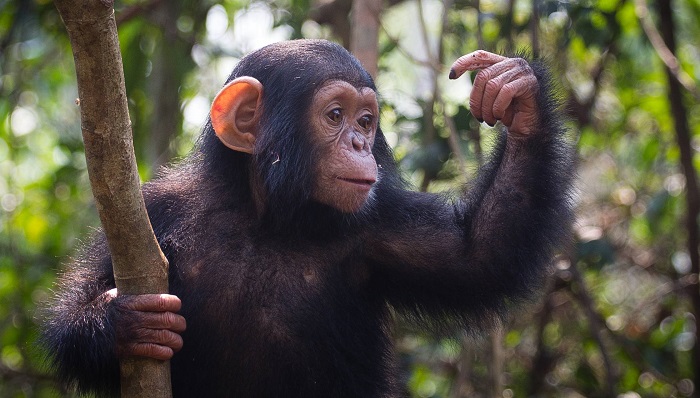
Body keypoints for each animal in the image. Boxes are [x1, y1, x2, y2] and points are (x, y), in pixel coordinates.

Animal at [39, 38, 576, 398]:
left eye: (366, 121)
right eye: (335, 115)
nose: (360, 144)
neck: (266, 217)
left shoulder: (379, 225)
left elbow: (479, 255)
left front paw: (518, 96)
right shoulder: (152, 214)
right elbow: (76, 308)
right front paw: (122, 321)